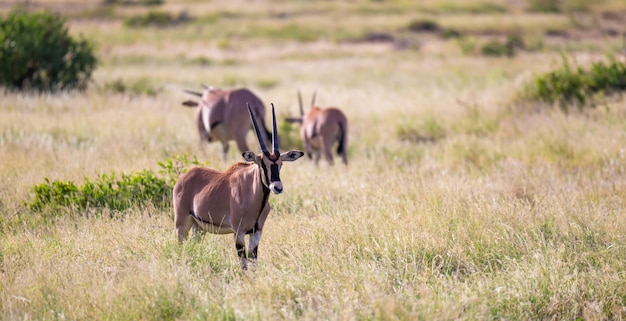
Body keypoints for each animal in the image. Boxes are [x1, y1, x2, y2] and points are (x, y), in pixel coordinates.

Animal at [172, 102, 304, 268]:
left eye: (280, 164)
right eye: (262, 164)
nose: (277, 187)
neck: (253, 195)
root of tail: (183, 178)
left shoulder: (256, 231)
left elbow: (253, 260)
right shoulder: (238, 232)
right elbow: (244, 263)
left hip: (199, 227)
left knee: (193, 245)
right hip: (182, 224)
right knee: (180, 245)